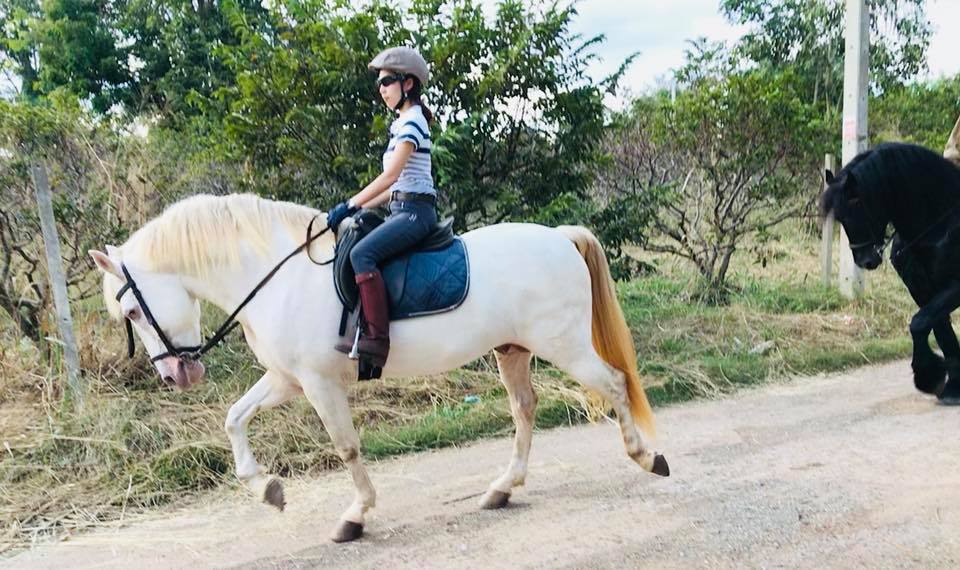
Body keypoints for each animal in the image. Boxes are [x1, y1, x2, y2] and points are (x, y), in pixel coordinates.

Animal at [89, 193, 670, 543]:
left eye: (133, 311)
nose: (175, 376)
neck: (276, 277)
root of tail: (559, 235)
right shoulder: (286, 379)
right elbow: (235, 417)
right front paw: (267, 489)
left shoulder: (318, 383)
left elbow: (346, 447)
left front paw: (355, 516)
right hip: (513, 351)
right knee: (525, 409)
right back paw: (503, 488)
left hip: (563, 344)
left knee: (615, 383)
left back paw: (647, 457)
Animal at [821, 142, 960, 405]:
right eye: (840, 217)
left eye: (858, 206)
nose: (865, 260)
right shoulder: (922, 289)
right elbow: (936, 328)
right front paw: (950, 386)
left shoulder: (955, 288)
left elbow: (920, 323)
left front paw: (928, 375)